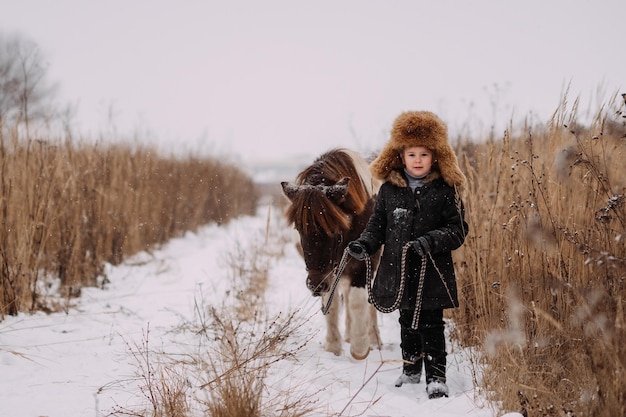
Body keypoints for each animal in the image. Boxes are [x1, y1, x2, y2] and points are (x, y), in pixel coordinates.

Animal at [282, 148, 380, 360]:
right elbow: (332, 303)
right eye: (299, 228)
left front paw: (360, 348)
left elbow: (358, 301)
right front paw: (333, 346)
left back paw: (373, 339)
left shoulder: (363, 264)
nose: (315, 286)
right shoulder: (331, 272)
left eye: (335, 230)